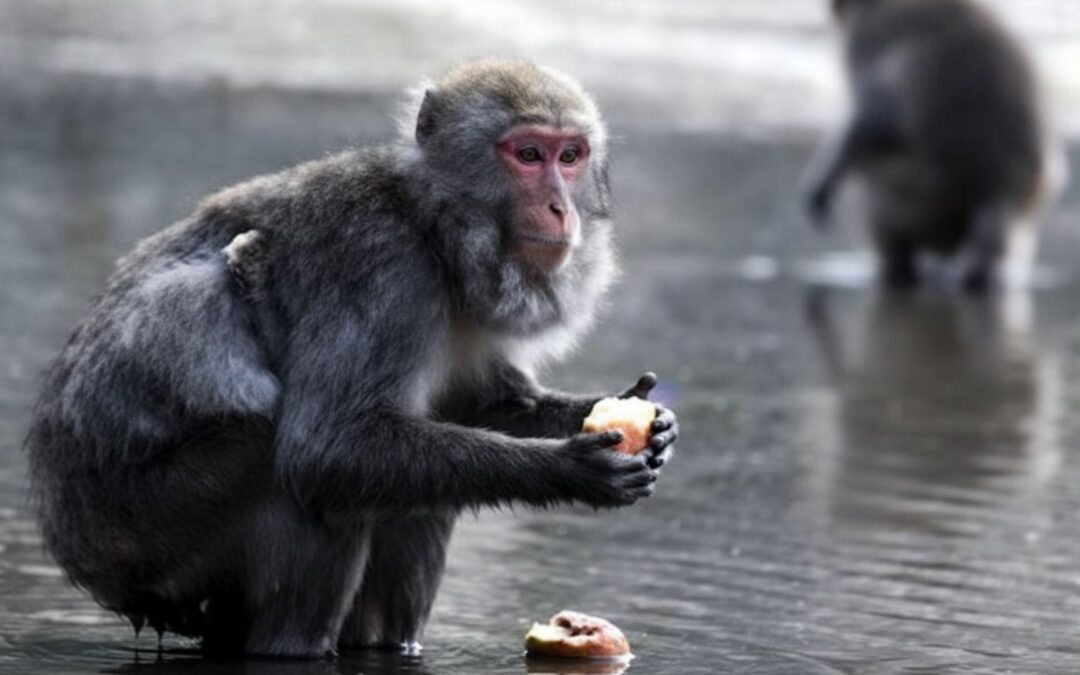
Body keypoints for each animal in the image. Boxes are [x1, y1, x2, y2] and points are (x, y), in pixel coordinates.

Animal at [26, 59, 679, 658]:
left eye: (570, 157)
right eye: (527, 154)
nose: (561, 209)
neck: (435, 228)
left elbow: (483, 405)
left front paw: (646, 421)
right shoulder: (379, 265)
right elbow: (328, 446)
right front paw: (569, 467)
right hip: (144, 536)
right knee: (284, 471)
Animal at [803, 0, 1066, 290]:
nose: (833, 9)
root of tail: (996, 190)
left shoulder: (869, 41)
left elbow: (876, 117)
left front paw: (821, 185)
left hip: (919, 204)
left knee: (880, 191)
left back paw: (900, 269)